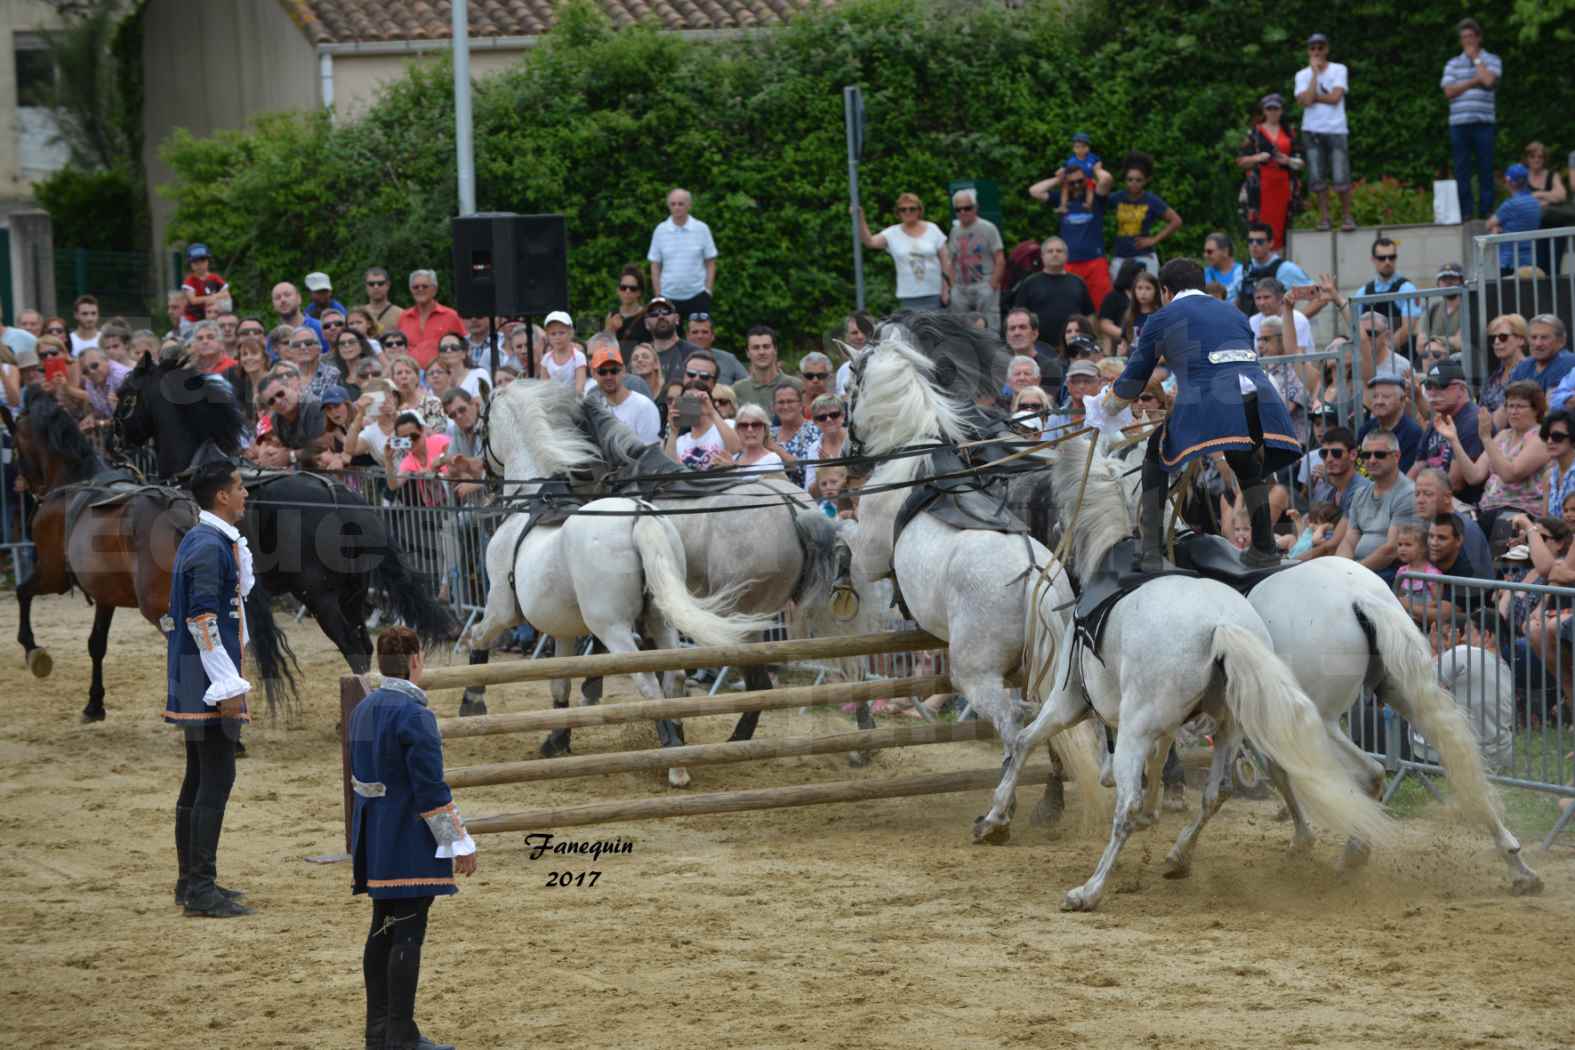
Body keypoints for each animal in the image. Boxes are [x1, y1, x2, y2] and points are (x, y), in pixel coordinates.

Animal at [2, 391, 296, 724]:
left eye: (15, 447)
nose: (22, 487)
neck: (76, 482)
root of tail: (188, 513)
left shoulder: (53, 574)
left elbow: (23, 592)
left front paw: (32, 649)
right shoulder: (105, 595)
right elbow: (96, 644)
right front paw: (94, 703)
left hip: (159, 607)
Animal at [111, 351, 453, 673]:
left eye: (126, 395)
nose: (113, 442)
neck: (196, 465)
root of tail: (342, 500)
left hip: (320, 596)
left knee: (351, 647)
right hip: (352, 592)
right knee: (363, 648)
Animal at [466, 382, 781, 783]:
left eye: (480, 427)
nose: (485, 477)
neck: (531, 500)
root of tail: (639, 516)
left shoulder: (503, 610)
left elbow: (478, 637)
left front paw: (472, 703)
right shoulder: (563, 629)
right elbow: (560, 681)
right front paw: (556, 740)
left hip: (614, 629)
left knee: (648, 684)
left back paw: (674, 762)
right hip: (660, 622)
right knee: (673, 677)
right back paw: (678, 741)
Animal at [844, 336, 1102, 831]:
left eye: (848, 387)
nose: (849, 453)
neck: (914, 462)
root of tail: (1034, 577)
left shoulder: (869, 556)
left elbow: (844, 541)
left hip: (974, 674)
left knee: (1014, 726)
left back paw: (997, 816)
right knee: (1038, 722)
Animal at [976, 434, 1398, 913]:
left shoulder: (1071, 702)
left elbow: (1025, 742)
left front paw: (995, 819)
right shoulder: (1164, 722)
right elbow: (1163, 761)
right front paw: (1155, 811)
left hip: (1255, 721)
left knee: (1130, 804)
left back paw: (1089, 890)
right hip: (1245, 722)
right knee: (1232, 789)